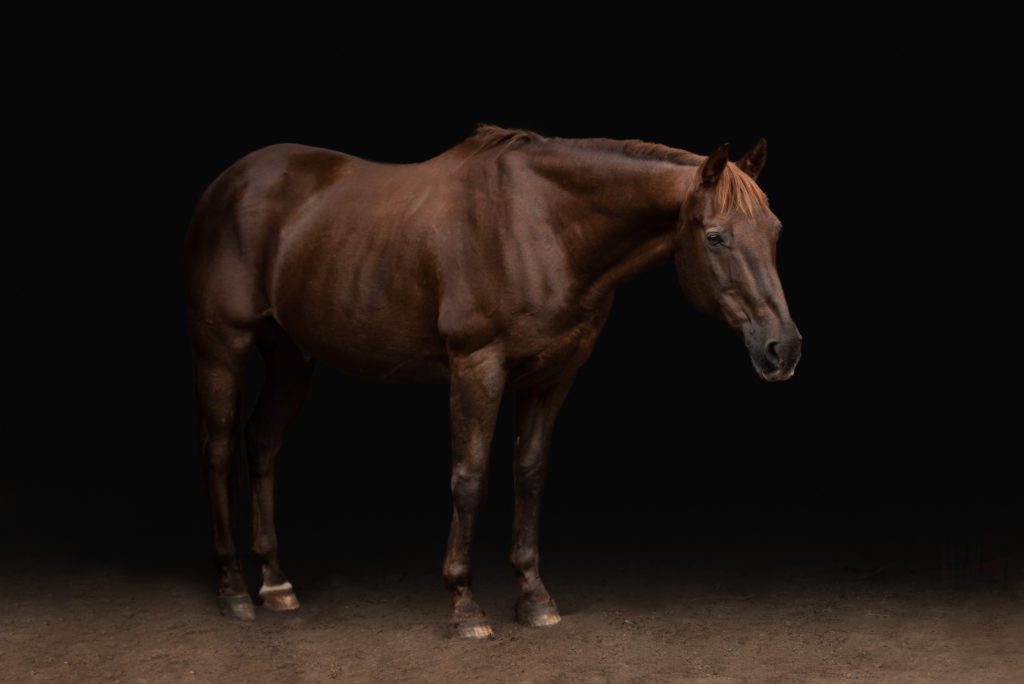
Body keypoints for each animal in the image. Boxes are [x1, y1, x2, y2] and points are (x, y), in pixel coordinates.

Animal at [184, 124, 801, 639]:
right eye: (716, 237)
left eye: (775, 230)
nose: (783, 348)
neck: (542, 226)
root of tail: (228, 183)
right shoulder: (476, 367)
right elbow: (470, 478)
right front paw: (464, 605)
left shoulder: (553, 375)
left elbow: (529, 475)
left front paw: (534, 597)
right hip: (223, 348)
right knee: (218, 452)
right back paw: (234, 590)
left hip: (291, 354)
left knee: (263, 443)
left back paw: (276, 583)